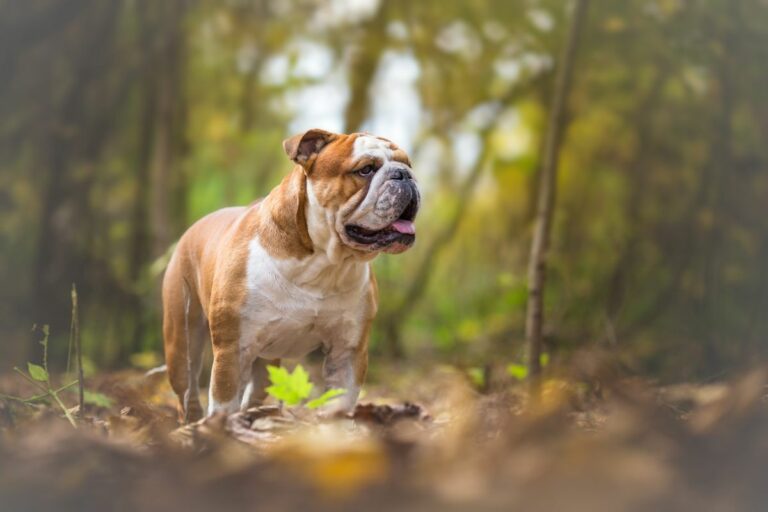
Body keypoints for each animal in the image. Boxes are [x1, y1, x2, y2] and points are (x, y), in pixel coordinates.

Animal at [160, 130, 420, 422]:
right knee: (188, 391)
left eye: (407, 164)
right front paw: (219, 428)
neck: (322, 264)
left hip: (266, 361)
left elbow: (339, 404)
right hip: (182, 342)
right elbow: (223, 403)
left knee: (254, 391)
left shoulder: (348, 351)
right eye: (365, 169)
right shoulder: (232, 350)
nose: (404, 175)